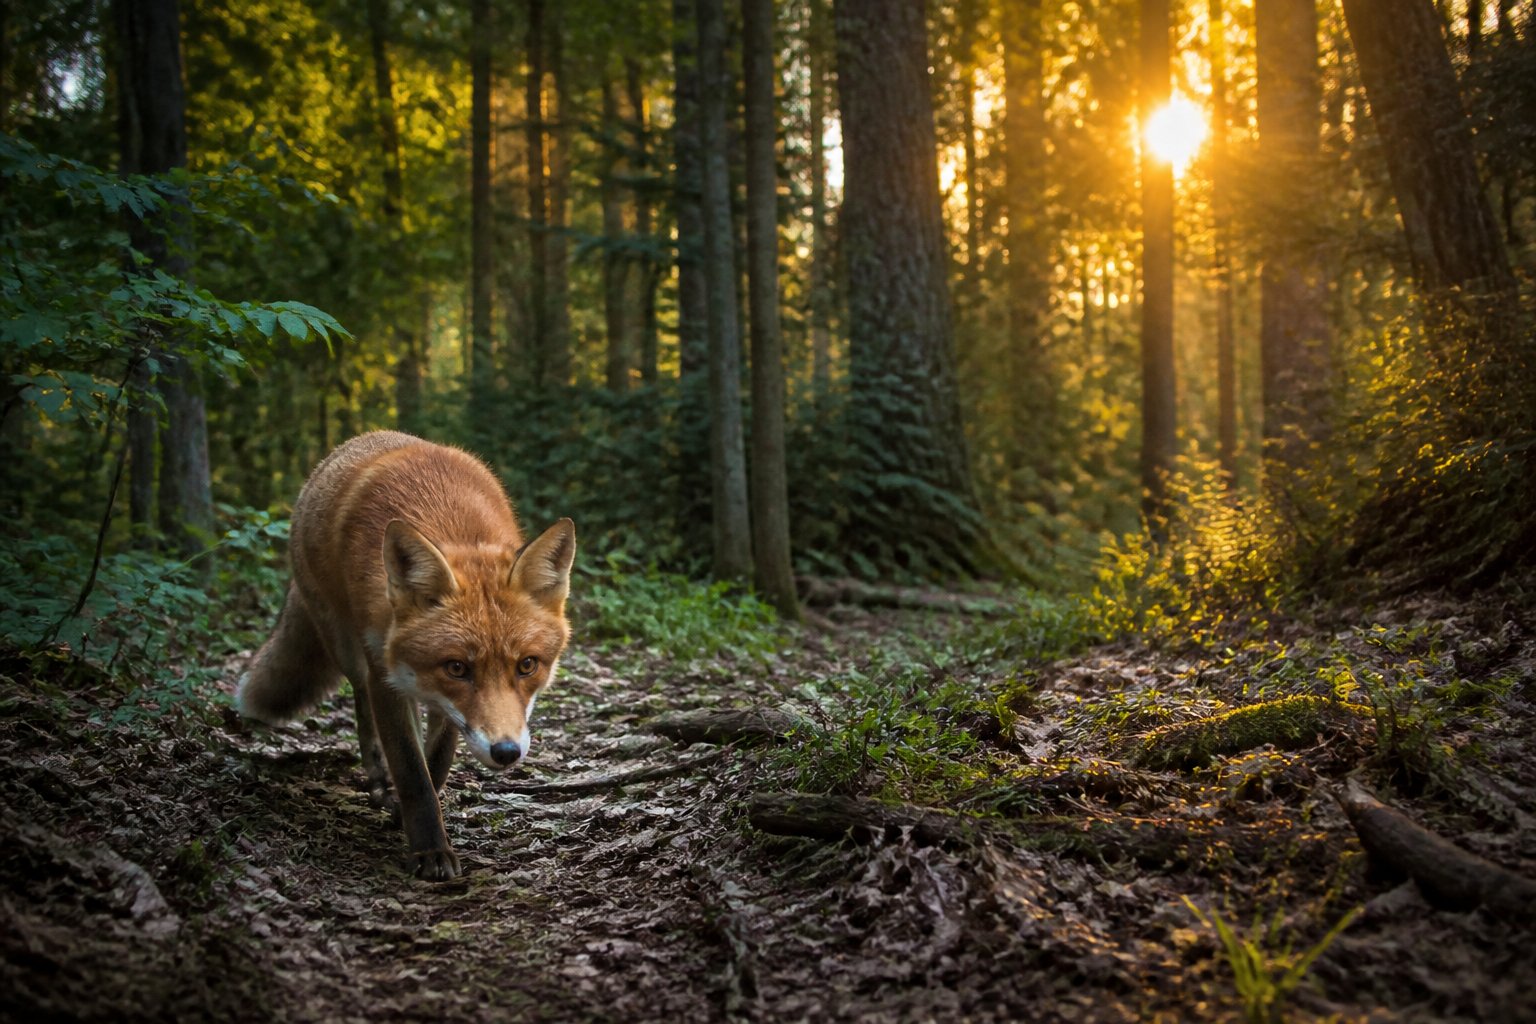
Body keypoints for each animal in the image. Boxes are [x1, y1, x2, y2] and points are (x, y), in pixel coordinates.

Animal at [236, 430, 575, 880]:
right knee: (362, 705)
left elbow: (438, 760)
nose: (506, 753)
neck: (447, 514)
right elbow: (412, 772)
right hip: (348, 648)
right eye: (457, 667)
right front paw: (429, 848)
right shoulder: (386, 673)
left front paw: (417, 814)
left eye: (527, 665)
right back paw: (379, 776)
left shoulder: (446, 705)